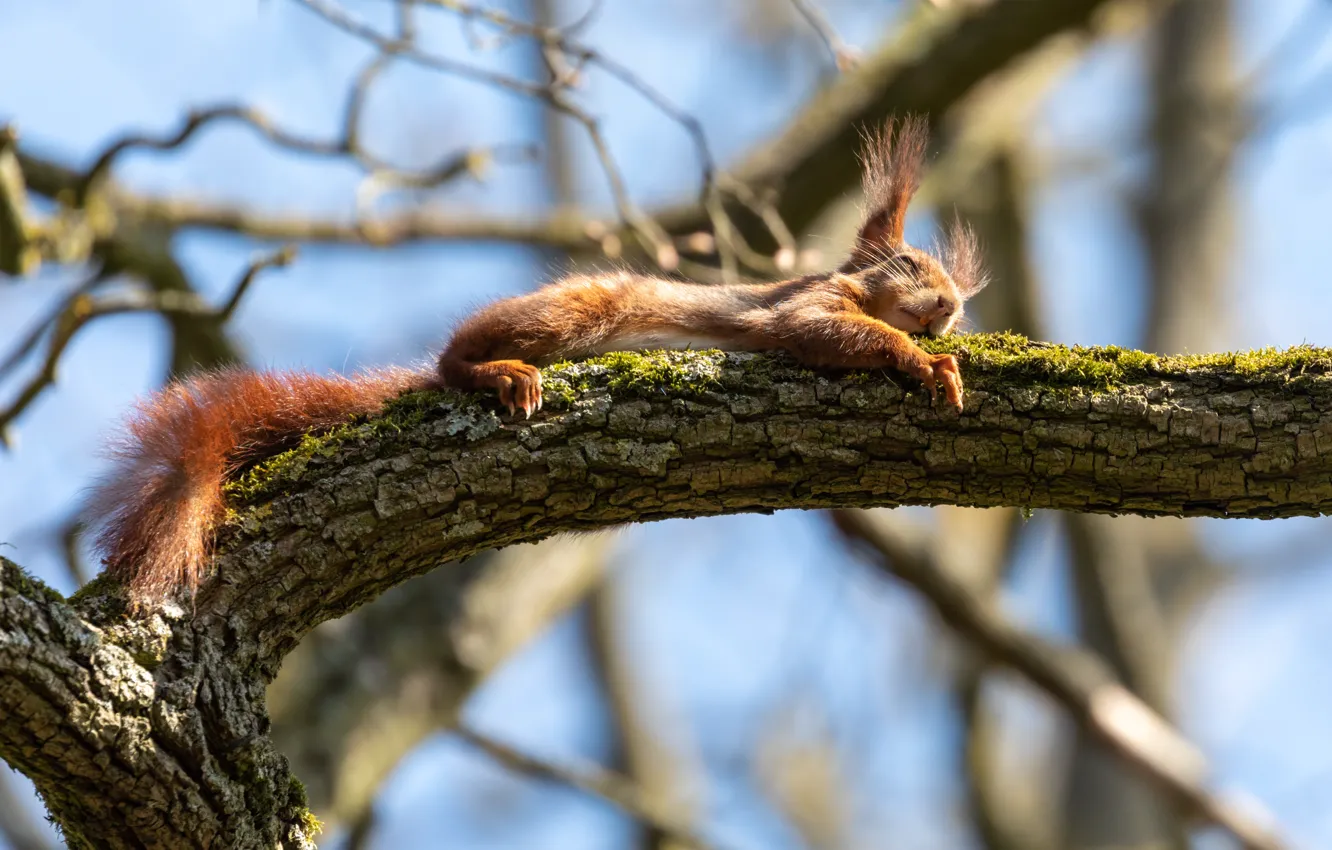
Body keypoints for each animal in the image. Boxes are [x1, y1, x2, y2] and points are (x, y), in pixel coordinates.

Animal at [85, 115, 988, 606]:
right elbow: (829, 332)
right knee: (451, 361)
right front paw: (923, 363)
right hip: (566, 314)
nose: (948, 308)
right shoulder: (799, 305)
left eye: (954, 290)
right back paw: (496, 374)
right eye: (910, 265)